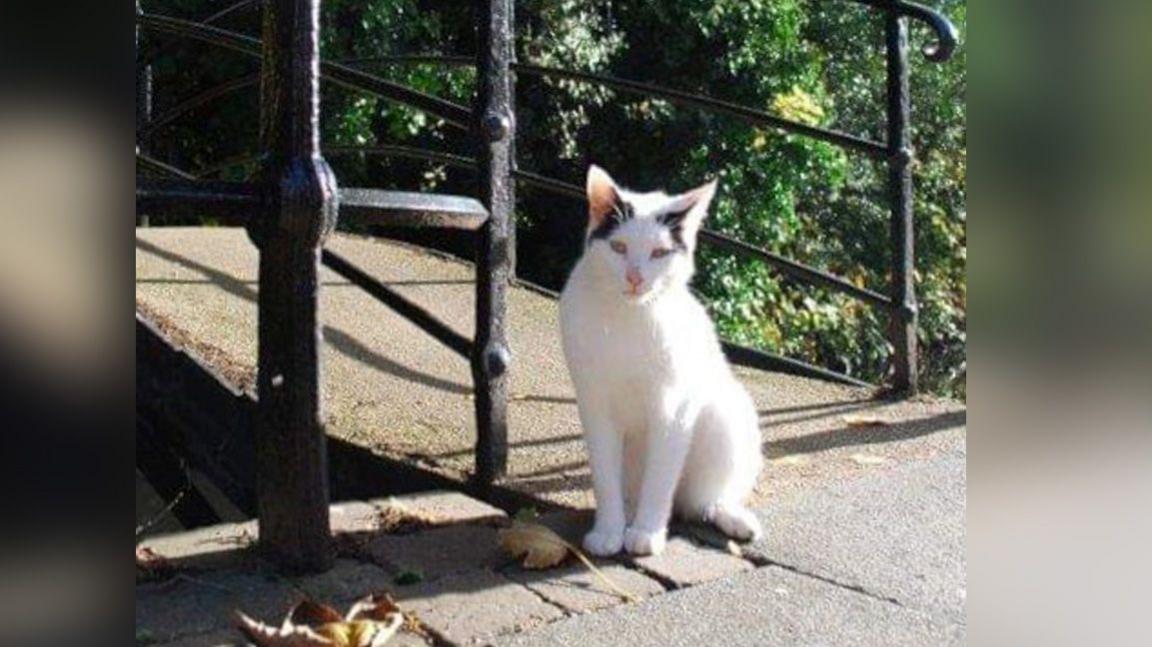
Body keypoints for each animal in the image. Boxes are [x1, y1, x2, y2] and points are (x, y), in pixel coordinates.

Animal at [559, 165, 764, 554]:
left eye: (659, 253)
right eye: (619, 247)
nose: (635, 277)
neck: (629, 318)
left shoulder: (675, 409)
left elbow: (661, 475)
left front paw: (647, 532)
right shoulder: (593, 402)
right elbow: (604, 474)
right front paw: (608, 530)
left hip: (725, 413)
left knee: (703, 499)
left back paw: (730, 515)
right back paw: (626, 513)